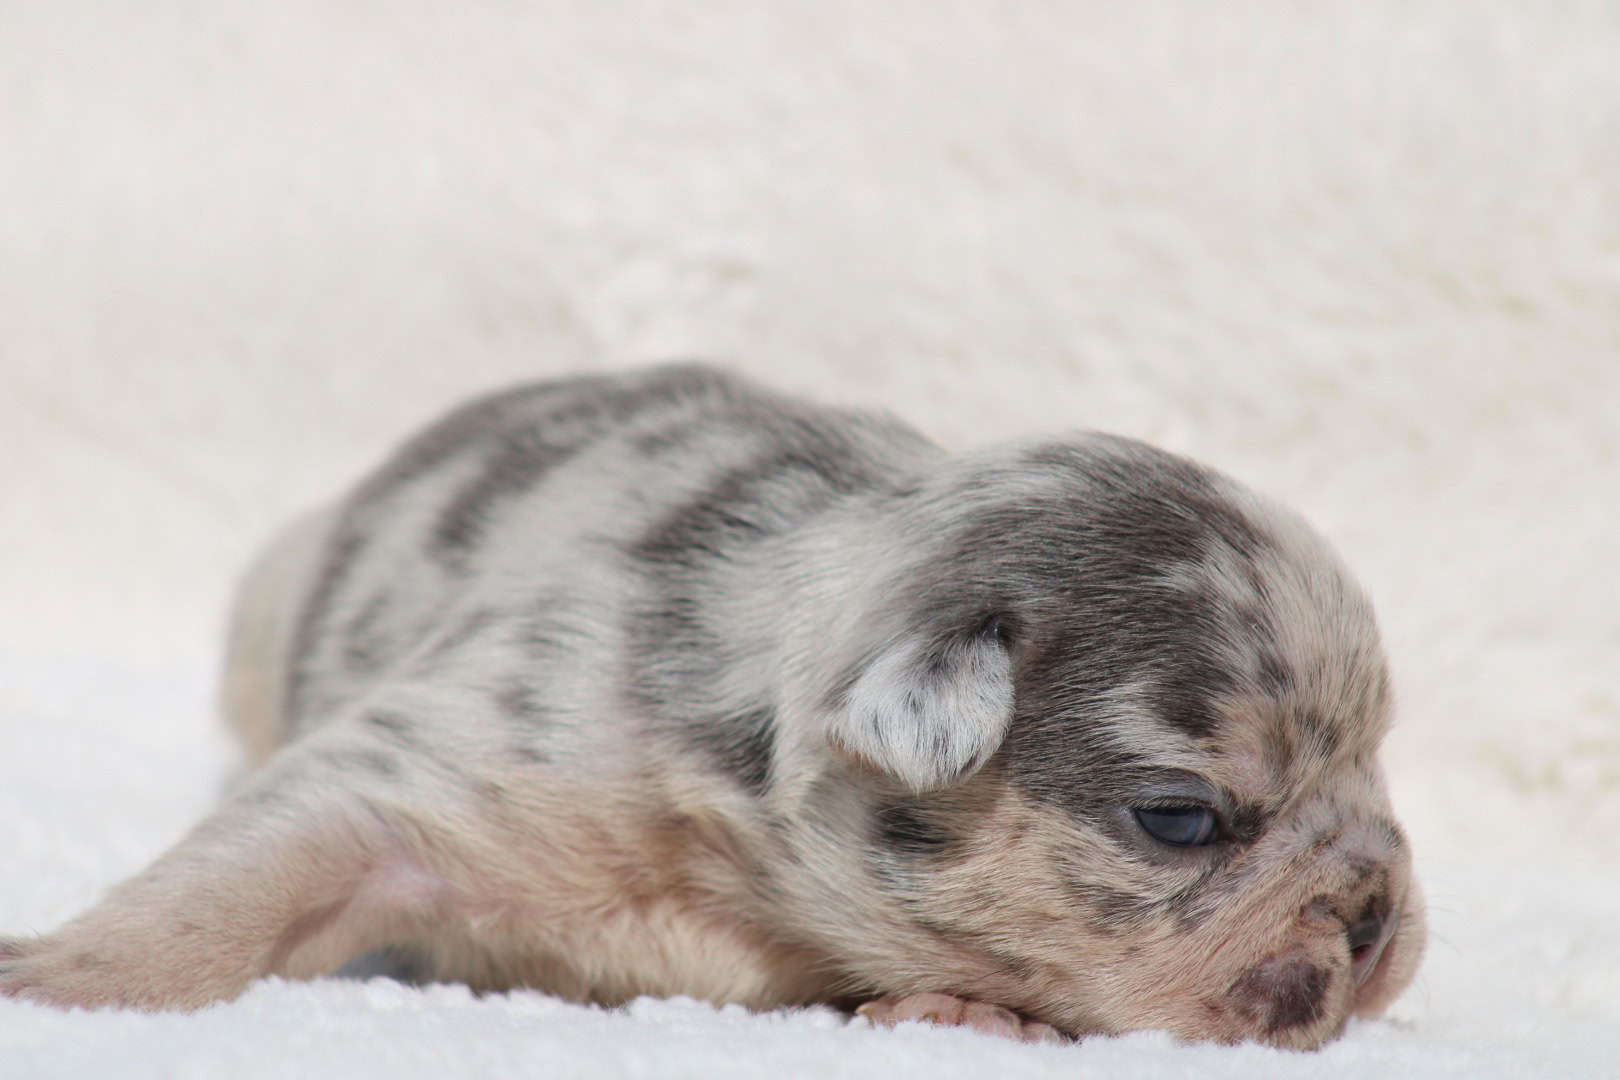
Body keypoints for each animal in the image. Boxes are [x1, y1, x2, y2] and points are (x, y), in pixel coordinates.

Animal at [0, 362, 1419, 1049]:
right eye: (1182, 820)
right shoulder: (459, 757)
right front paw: (67, 981)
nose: (1371, 916)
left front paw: (965, 1010)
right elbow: (244, 873)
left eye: (1381, 761)